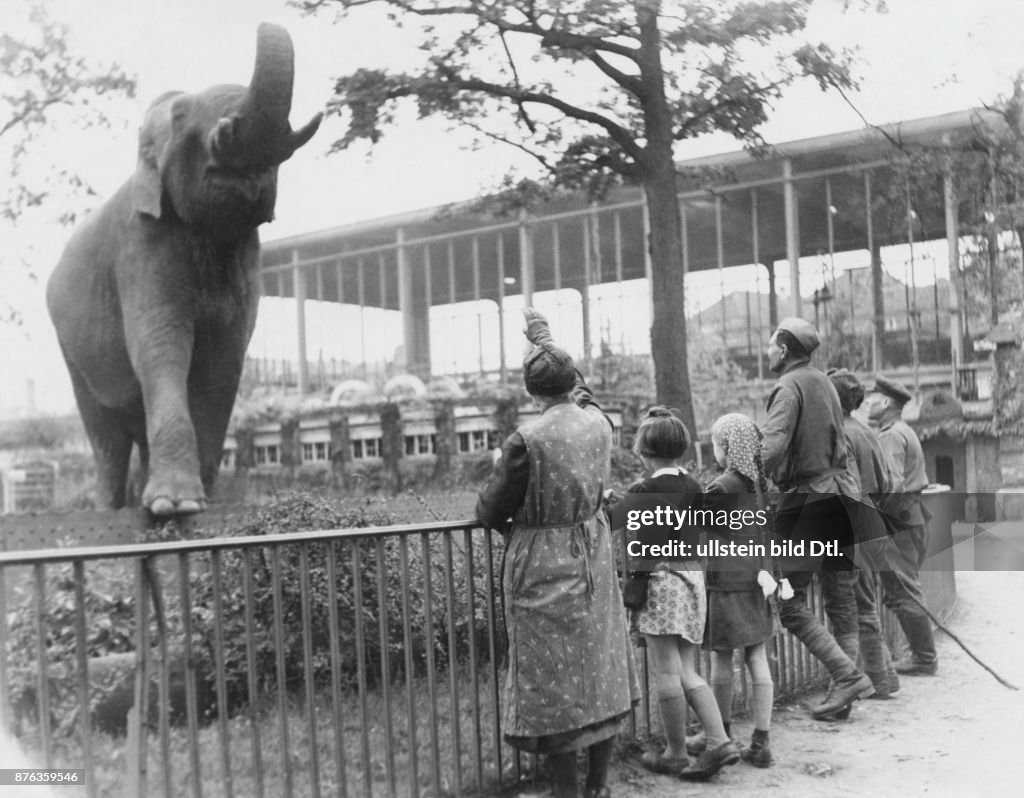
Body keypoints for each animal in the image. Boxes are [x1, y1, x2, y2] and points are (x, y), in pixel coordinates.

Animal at [46, 23, 319, 518]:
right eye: (179, 116)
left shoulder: (247, 259)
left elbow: (224, 359)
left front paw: (198, 501)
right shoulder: (140, 244)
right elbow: (161, 341)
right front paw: (175, 506)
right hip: (72, 353)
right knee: (106, 437)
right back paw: (112, 510)